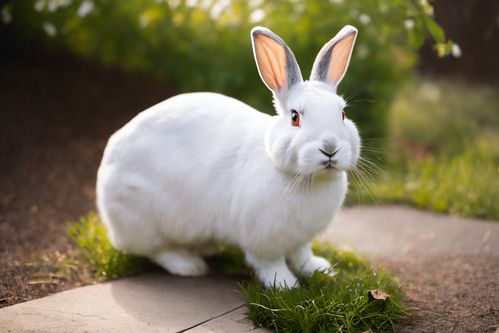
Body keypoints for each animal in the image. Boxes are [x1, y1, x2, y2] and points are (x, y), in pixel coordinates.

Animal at [96, 24, 360, 286]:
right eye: (295, 117)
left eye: (343, 114)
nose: (330, 148)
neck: (306, 178)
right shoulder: (263, 239)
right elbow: (270, 263)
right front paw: (285, 284)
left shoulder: (300, 239)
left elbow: (302, 254)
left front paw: (321, 270)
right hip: (144, 218)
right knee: (156, 250)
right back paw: (188, 265)